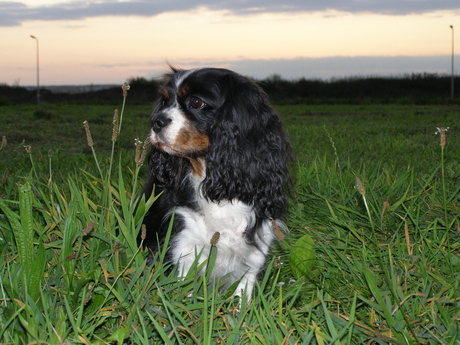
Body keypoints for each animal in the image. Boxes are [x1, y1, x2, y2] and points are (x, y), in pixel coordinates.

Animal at [141, 66, 292, 298]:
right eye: (165, 101)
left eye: (196, 102)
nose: (156, 121)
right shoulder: (183, 242)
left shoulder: (255, 247)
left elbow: (243, 293)